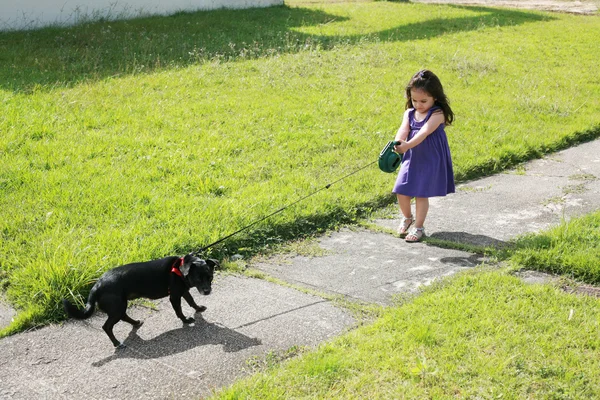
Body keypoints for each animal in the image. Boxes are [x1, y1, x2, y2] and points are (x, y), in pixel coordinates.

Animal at [62, 255, 218, 348]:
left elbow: (191, 301)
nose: (207, 291)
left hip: (120, 305)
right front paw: (186, 320)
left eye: (210, 276)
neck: (180, 269)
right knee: (107, 326)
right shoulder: (174, 296)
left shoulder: (183, 291)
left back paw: (135, 323)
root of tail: (97, 286)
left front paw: (198, 308)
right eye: (198, 278)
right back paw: (117, 343)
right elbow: (179, 311)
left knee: (123, 316)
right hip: (117, 307)